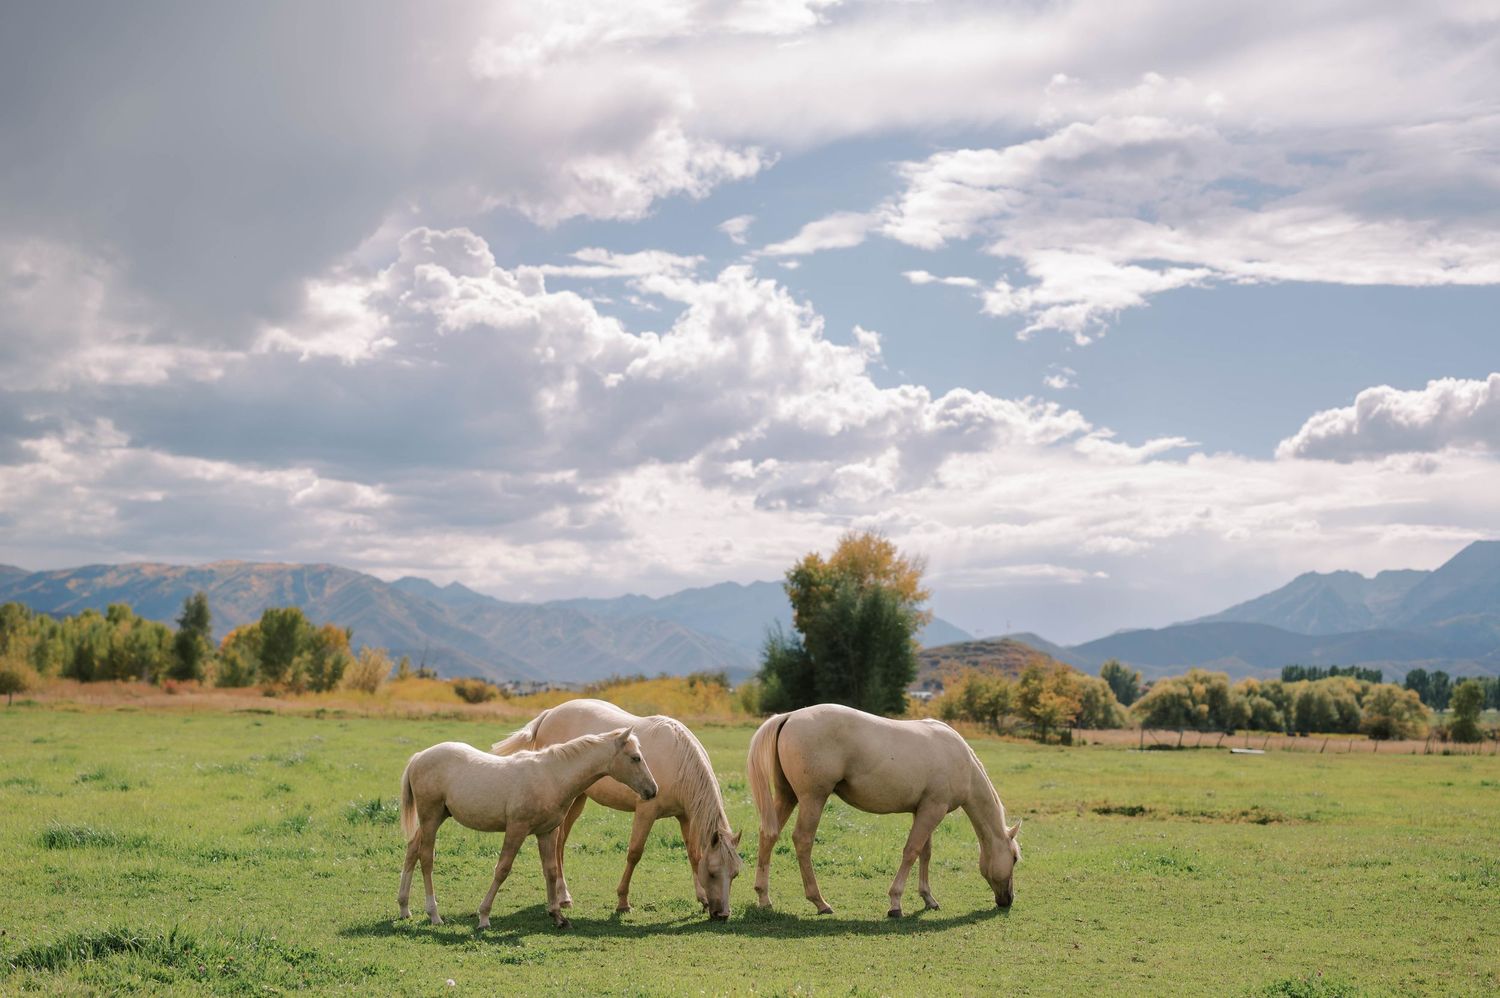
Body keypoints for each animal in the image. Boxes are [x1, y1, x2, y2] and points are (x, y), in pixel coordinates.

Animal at [398, 727, 657, 929]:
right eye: (635, 757)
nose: (652, 790)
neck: (552, 775)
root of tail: (419, 757)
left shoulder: (547, 832)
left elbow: (551, 870)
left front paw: (558, 916)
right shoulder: (517, 829)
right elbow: (502, 869)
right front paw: (484, 917)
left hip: (438, 816)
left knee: (411, 851)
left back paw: (404, 908)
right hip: (431, 817)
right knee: (426, 858)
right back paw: (434, 915)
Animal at [492, 699, 743, 920]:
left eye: (735, 874)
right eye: (713, 872)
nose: (722, 915)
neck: (678, 759)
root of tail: (549, 713)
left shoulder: (686, 816)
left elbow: (693, 855)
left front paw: (703, 899)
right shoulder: (646, 811)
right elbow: (634, 853)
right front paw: (623, 902)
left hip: (578, 799)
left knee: (560, 845)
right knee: (557, 845)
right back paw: (564, 897)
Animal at [747, 703, 1021, 917]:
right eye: (1015, 858)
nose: (1008, 900)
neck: (960, 760)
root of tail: (790, 716)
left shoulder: (925, 810)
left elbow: (925, 853)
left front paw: (928, 899)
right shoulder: (933, 810)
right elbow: (911, 852)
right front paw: (895, 903)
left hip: (787, 796)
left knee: (768, 836)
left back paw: (764, 898)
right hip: (812, 798)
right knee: (802, 841)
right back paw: (820, 902)